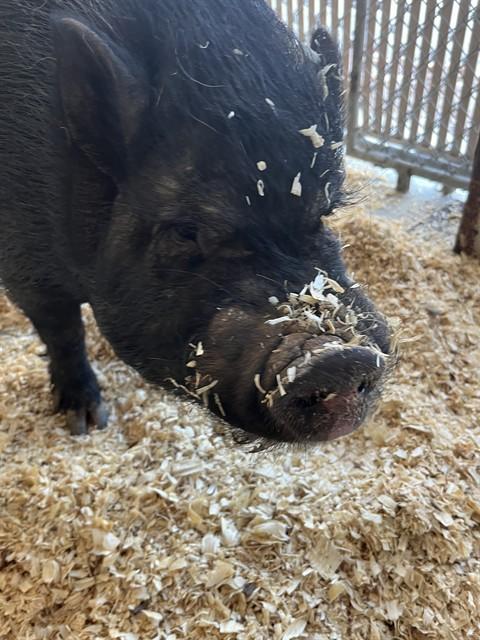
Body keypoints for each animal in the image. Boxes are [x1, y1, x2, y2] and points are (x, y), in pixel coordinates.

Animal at [0, 0, 392, 444]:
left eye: (324, 213)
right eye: (186, 232)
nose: (341, 360)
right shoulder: (27, 272)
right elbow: (63, 333)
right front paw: (87, 422)